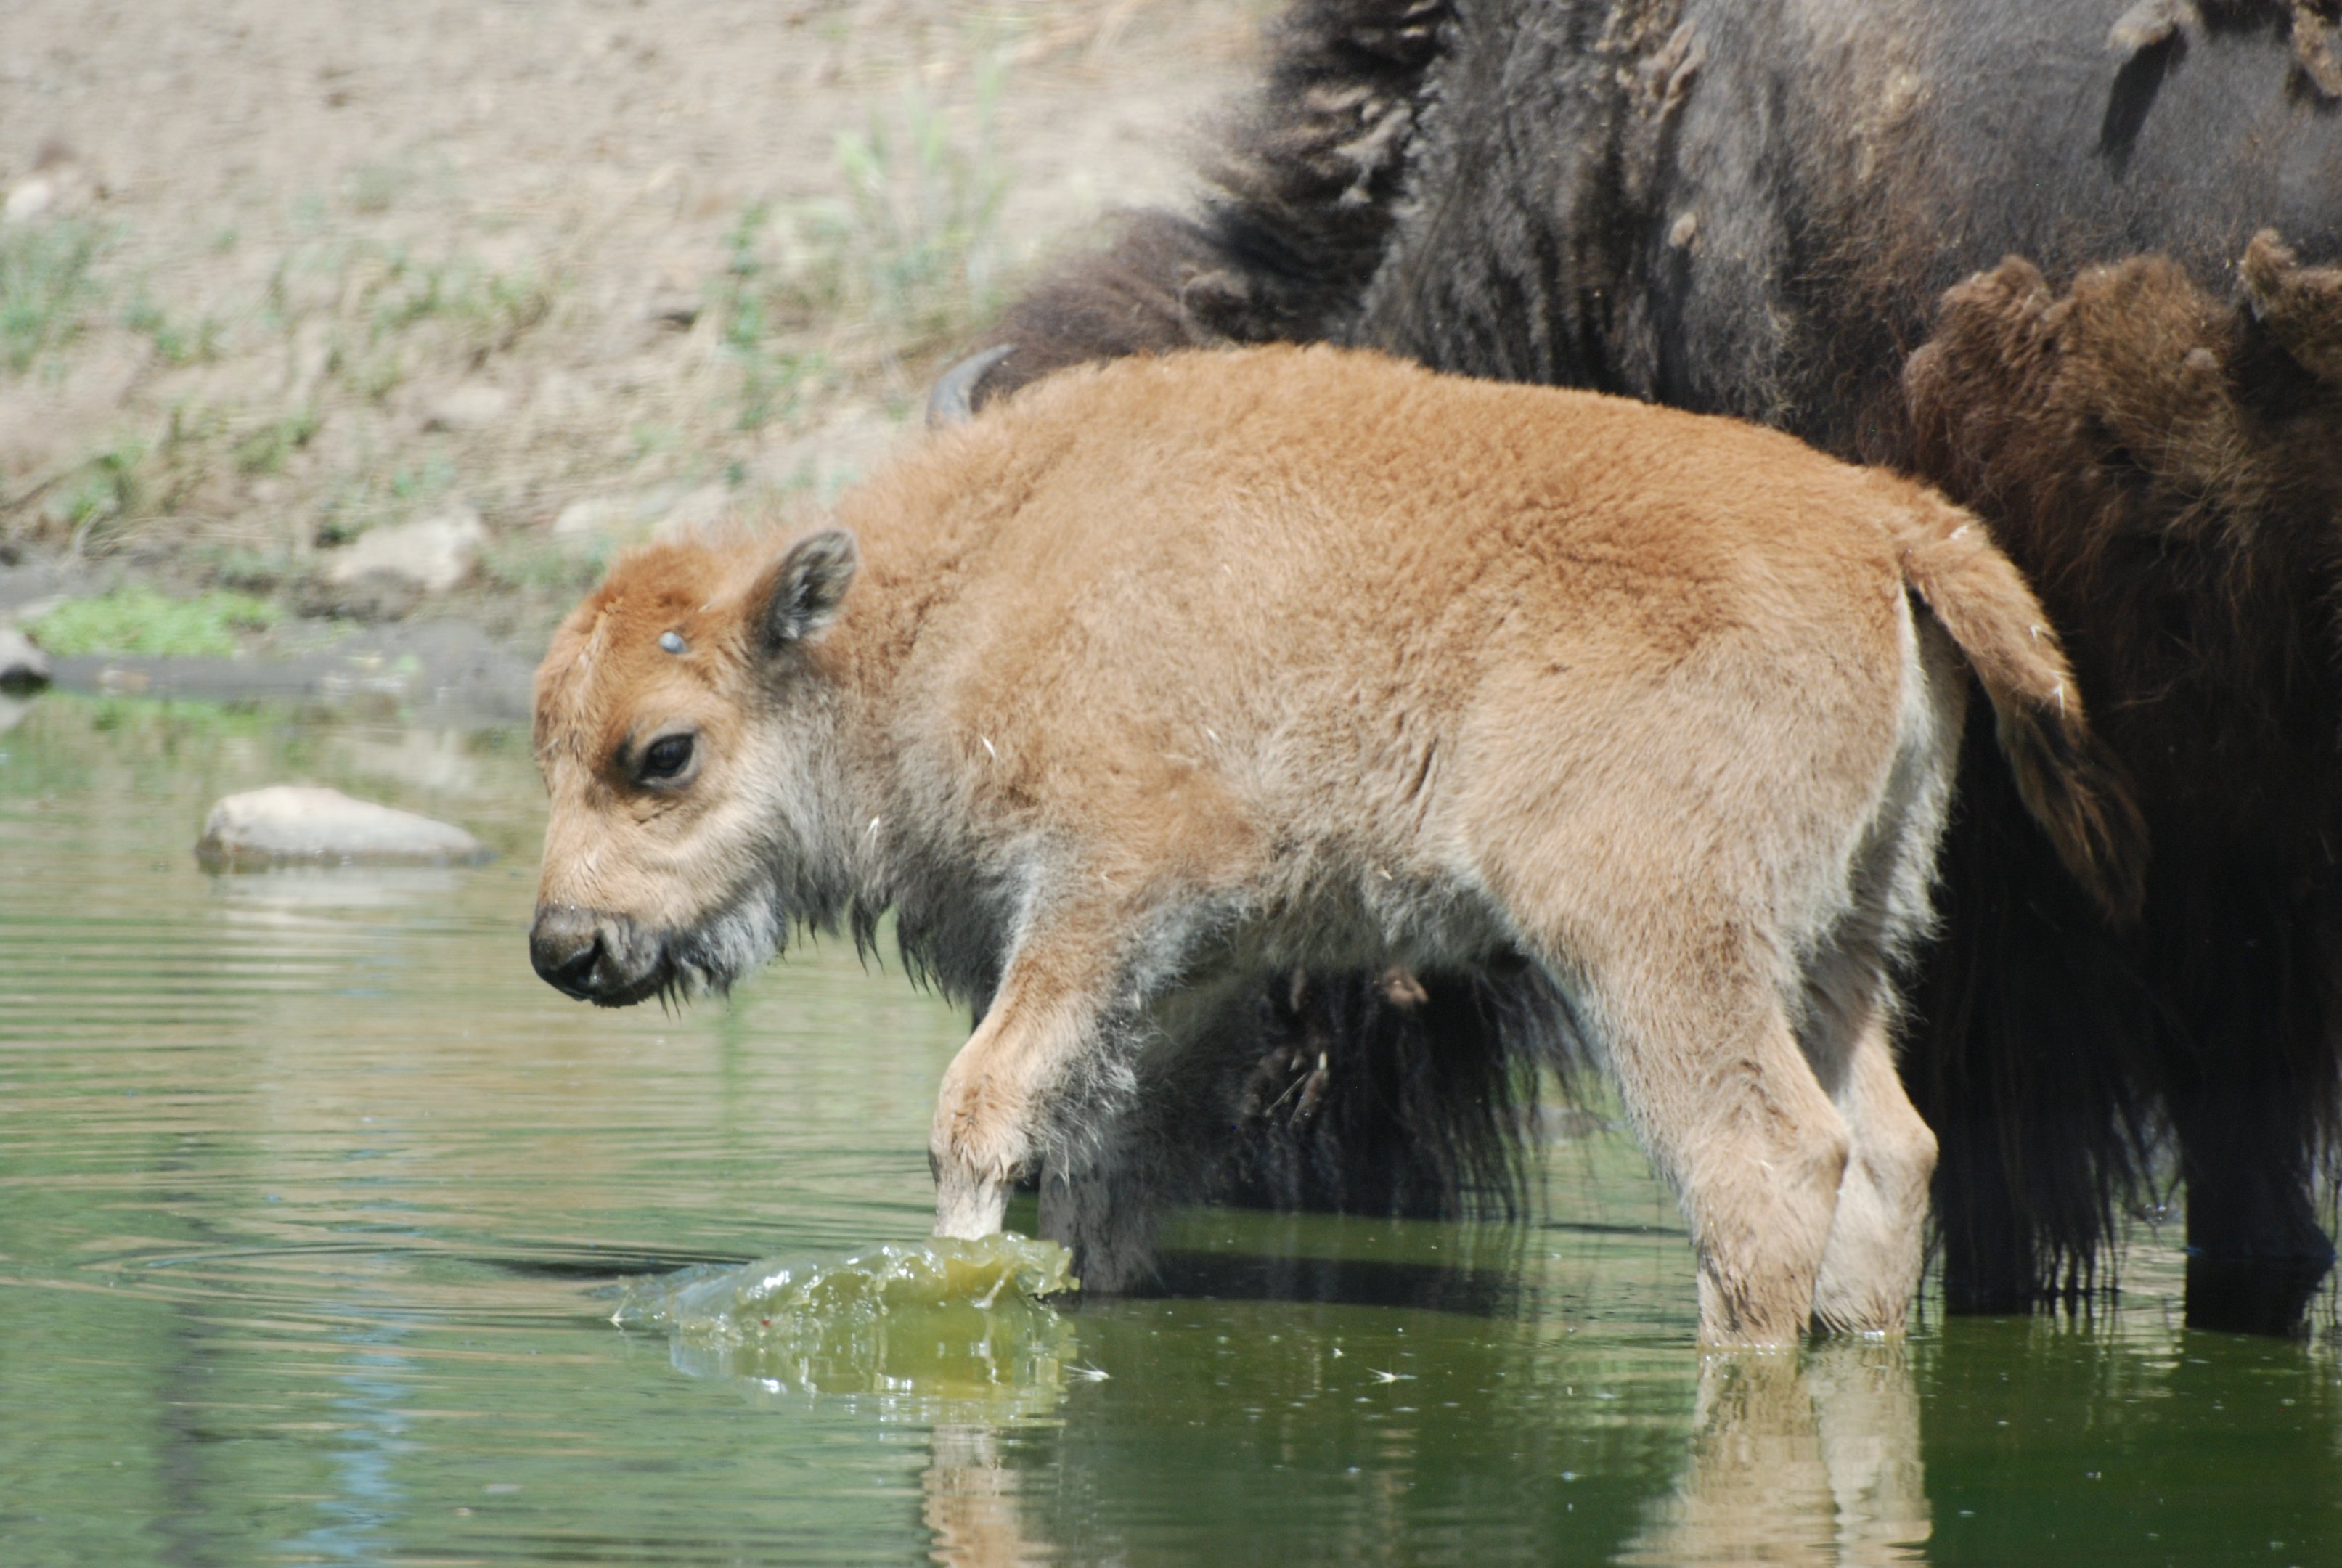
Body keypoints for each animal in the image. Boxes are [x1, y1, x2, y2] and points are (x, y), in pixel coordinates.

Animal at [528, 345, 2140, 1346]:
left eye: (661, 752)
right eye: (546, 738)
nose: (564, 945)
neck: (961, 593)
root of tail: (1877, 519)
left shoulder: (1103, 893)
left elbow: (983, 1106)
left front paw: (951, 1286)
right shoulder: (1182, 978)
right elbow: (1105, 1156)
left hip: (1654, 941)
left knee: (1763, 1162)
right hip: (1843, 937)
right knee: (1890, 1151)